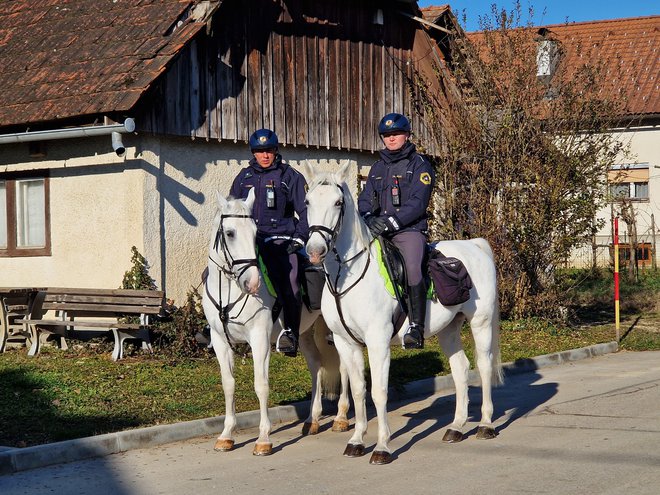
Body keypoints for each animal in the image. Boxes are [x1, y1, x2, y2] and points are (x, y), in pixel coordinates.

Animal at [201, 190, 346, 458]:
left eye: (254, 232)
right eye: (230, 233)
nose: (252, 282)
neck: (229, 291)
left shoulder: (259, 339)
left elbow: (261, 385)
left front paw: (263, 439)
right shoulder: (219, 340)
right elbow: (228, 384)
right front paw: (226, 435)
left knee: (344, 367)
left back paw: (341, 418)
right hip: (306, 332)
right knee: (317, 365)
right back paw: (312, 420)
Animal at [306, 163, 506, 464]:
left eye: (338, 202)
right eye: (307, 201)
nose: (315, 251)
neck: (346, 279)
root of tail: (474, 244)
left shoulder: (377, 342)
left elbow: (378, 392)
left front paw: (382, 446)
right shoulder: (345, 343)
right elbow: (358, 390)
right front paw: (356, 441)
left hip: (480, 323)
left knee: (483, 366)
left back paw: (485, 424)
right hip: (449, 329)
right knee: (461, 369)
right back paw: (457, 427)